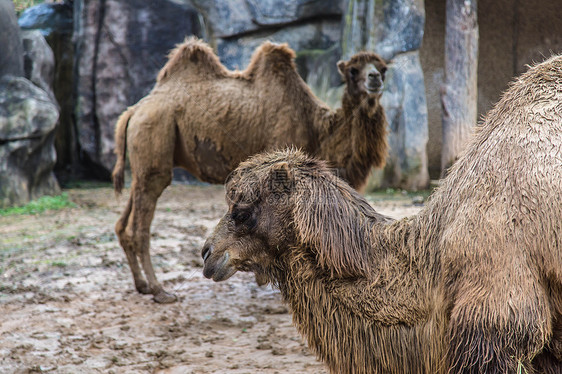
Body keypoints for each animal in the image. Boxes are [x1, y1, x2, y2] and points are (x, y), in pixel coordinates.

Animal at [112, 37, 388, 304]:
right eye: (353, 71)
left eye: (383, 68)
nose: (374, 79)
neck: (315, 127)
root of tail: (134, 111)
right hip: (155, 140)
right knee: (140, 227)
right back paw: (160, 291)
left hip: (143, 166)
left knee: (123, 221)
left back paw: (142, 285)